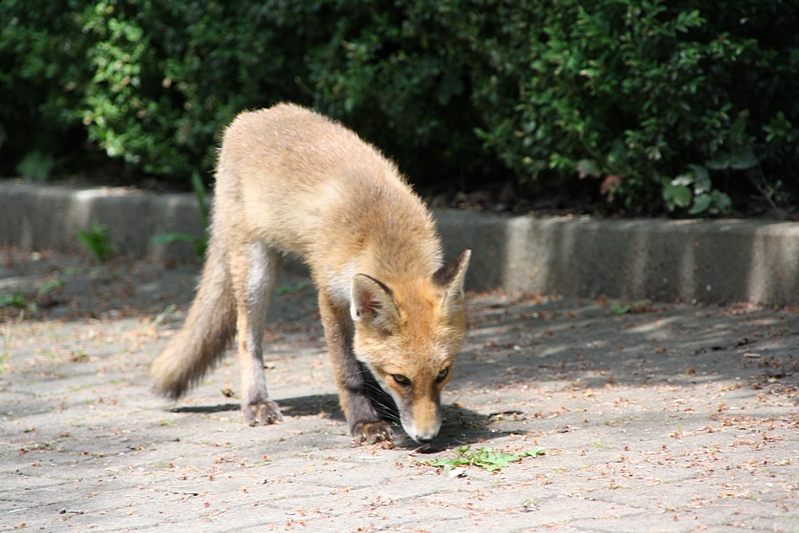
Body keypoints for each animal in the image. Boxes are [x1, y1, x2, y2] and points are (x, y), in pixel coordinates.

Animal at [152, 104, 468, 444]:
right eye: (400, 378)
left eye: (442, 374)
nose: (427, 438)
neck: (382, 231)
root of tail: (252, 116)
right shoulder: (330, 296)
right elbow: (348, 371)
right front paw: (364, 420)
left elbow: (360, 357)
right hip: (256, 274)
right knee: (247, 338)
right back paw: (256, 401)